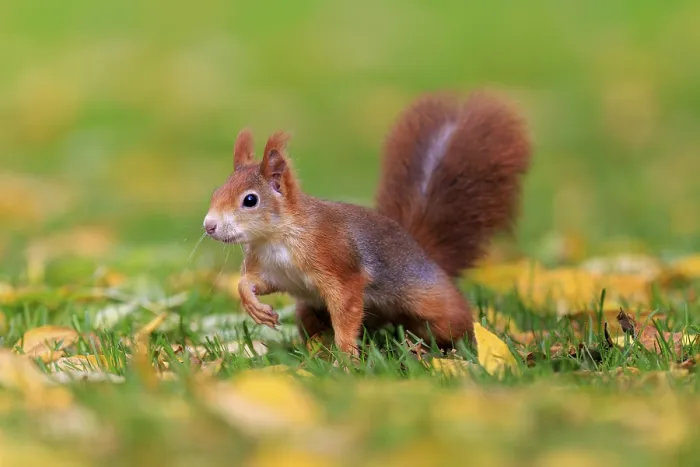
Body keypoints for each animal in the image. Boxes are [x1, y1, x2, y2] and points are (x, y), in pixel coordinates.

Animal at [202, 90, 531, 356]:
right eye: (216, 192)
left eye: (250, 200)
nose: (209, 226)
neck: (274, 239)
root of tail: (423, 252)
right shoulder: (274, 272)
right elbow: (249, 283)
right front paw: (254, 306)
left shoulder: (337, 264)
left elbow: (347, 310)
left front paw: (347, 358)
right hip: (310, 310)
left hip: (432, 301)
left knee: (455, 322)